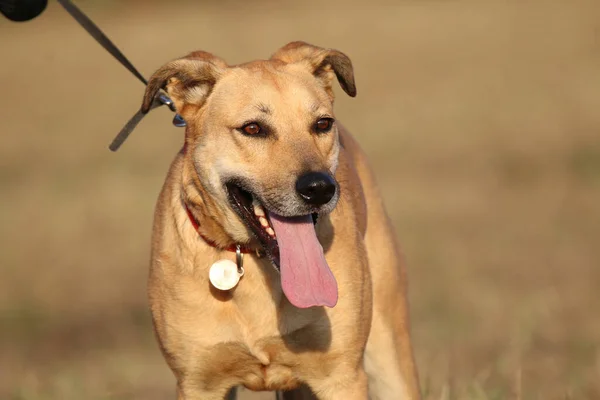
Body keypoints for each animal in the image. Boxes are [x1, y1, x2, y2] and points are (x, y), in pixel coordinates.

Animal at [142, 42, 420, 398]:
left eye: (322, 124)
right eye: (252, 128)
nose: (320, 188)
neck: (253, 260)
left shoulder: (342, 376)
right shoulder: (198, 383)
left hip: (389, 351)